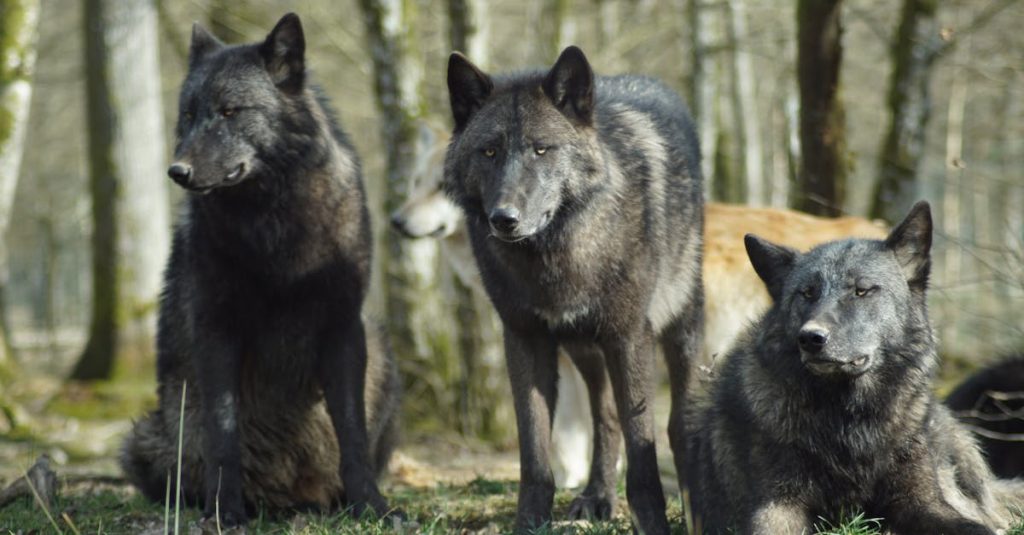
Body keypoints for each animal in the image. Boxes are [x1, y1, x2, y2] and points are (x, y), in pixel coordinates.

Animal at [119, 14, 399, 527]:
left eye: (230, 111)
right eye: (188, 115)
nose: (177, 171)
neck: (274, 223)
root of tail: (285, 498)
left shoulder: (343, 327)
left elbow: (352, 433)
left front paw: (372, 506)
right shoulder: (216, 330)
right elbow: (223, 433)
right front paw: (225, 512)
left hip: (383, 351)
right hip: (145, 438)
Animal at [444, 46, 703, 533]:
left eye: (541, 149)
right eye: (489, 151)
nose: (504, 219)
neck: (555, 258)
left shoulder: (629, 337)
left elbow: (644, 450)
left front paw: (652, 522)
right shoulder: (525, 339)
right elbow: (534, 452)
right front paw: (529, 522)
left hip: (680, 326)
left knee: (678, 421)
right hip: (584, 349)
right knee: (605, 418)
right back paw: (598, 496)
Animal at [685, 202, 1024, 535]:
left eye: (861, 290)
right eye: (806, 293)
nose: (810, 338)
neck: (849, 420)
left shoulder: (924, 503)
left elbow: (973, 527)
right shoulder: (777, 507)